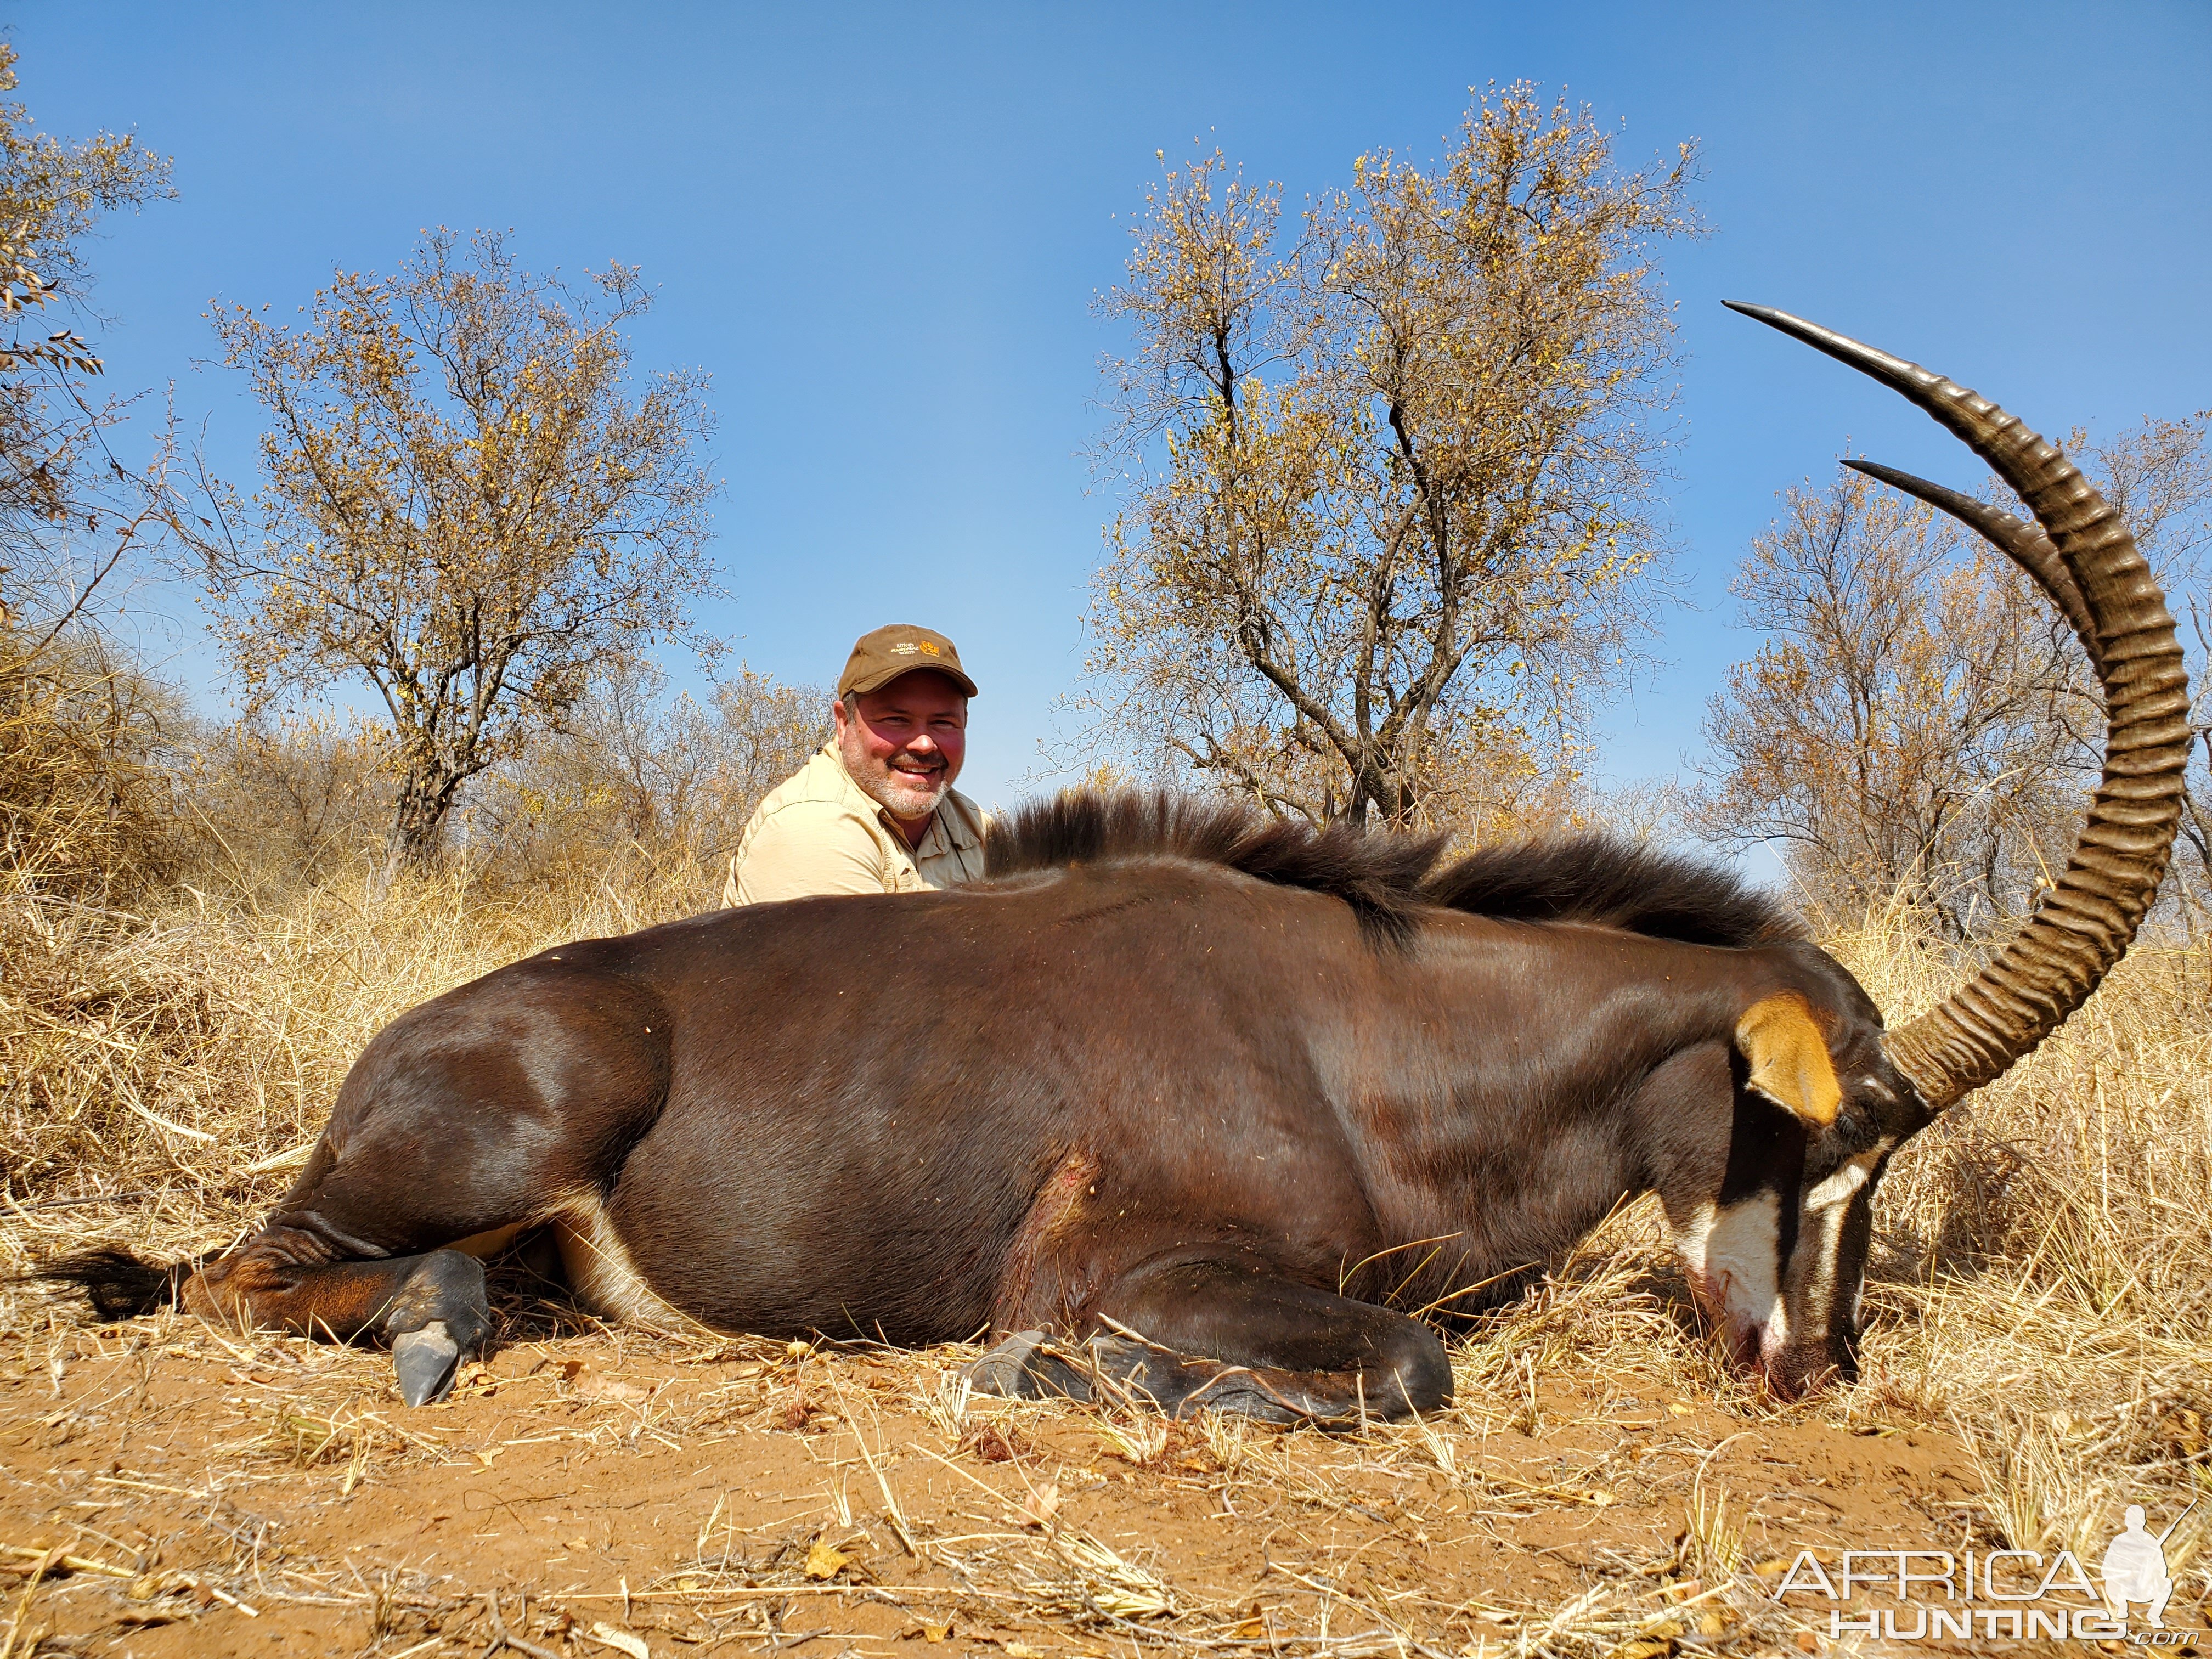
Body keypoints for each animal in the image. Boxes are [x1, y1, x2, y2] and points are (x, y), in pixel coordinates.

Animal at [43, 314, 2185, 1433]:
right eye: (1823, 1135)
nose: (1815, 1364)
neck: (1373, 1038)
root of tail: (409, 1044)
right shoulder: (1129, 1266)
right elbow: (1404, 1359)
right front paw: (1085, 1389)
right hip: (512, 1125)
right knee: (246, 1274)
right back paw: (432, 1318)